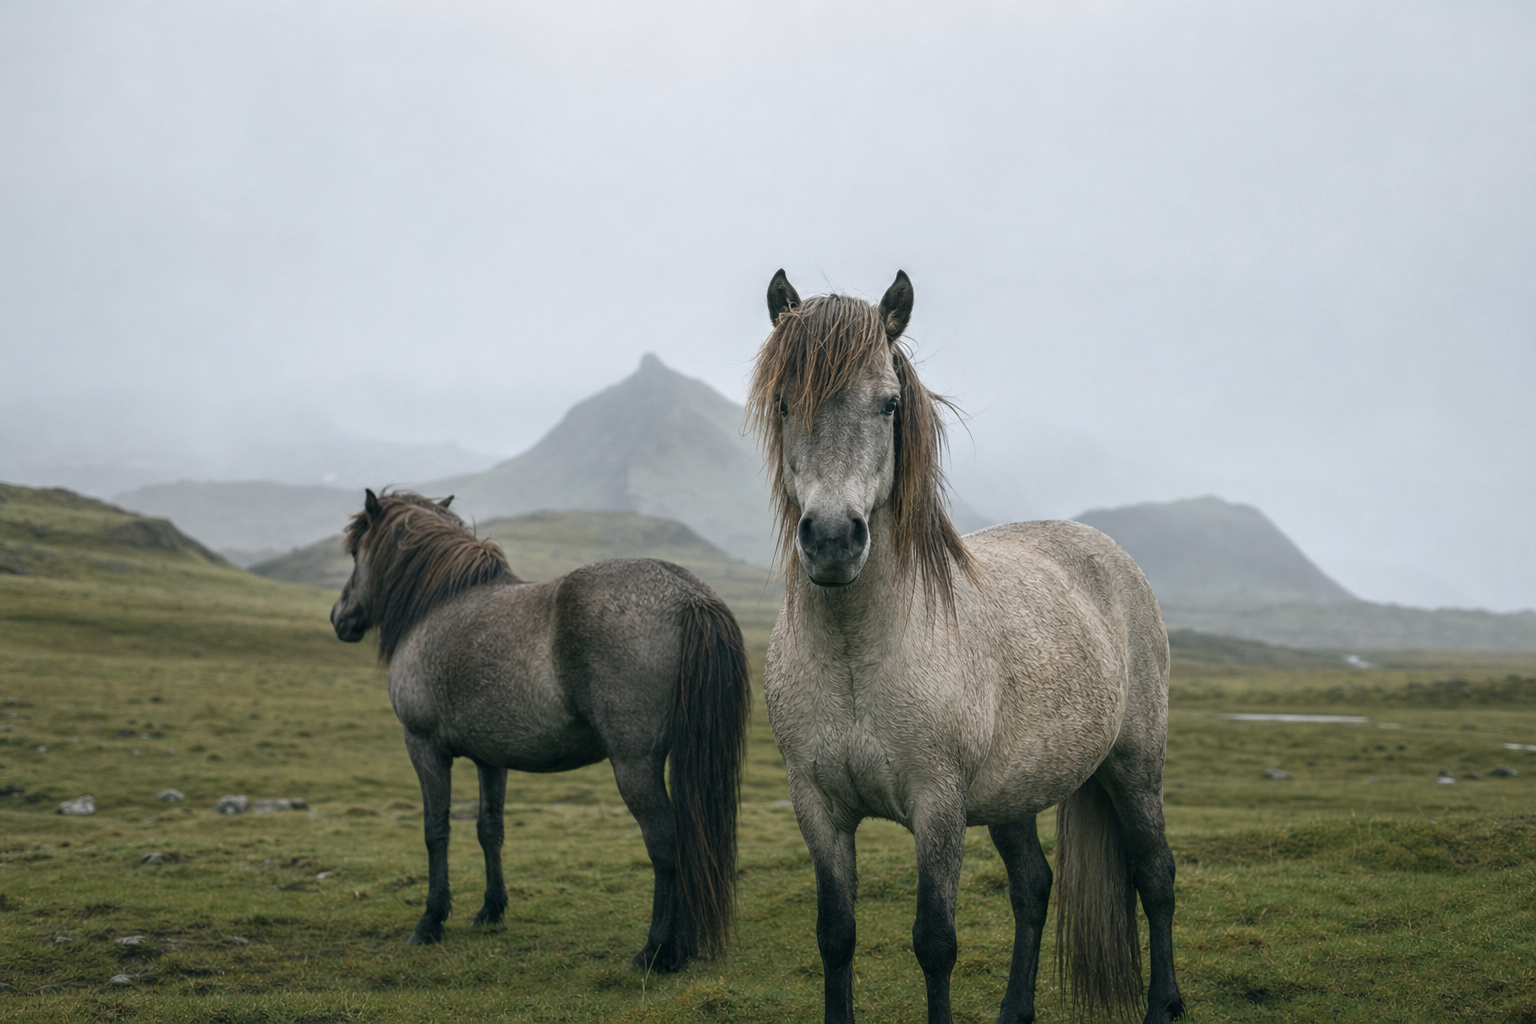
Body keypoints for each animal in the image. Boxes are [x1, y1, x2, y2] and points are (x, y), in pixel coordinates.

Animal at [329, 489, 750, 972]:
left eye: (355, 552)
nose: (339, 617)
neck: (437, 607)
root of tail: (689, 597)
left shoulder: (423, 746)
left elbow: (436, 830)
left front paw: (430, 922)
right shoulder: (490, 756)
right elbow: (489, 828)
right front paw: (491, 910)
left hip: (635, 764)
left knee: (664, 842)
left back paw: (655, 951)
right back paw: (680, 948)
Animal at [747, 271, 1185, 1024]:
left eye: (890, 403)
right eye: (782, 402)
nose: (832, 539)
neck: (857, 657)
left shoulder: (938, 806)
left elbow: (935, 943)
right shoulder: (818, 807)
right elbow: (836, 936)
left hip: (1134, 767)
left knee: (1155, 875)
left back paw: (1164, 1004)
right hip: (1016, 794)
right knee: (1034, 886)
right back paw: (1015, 1010)